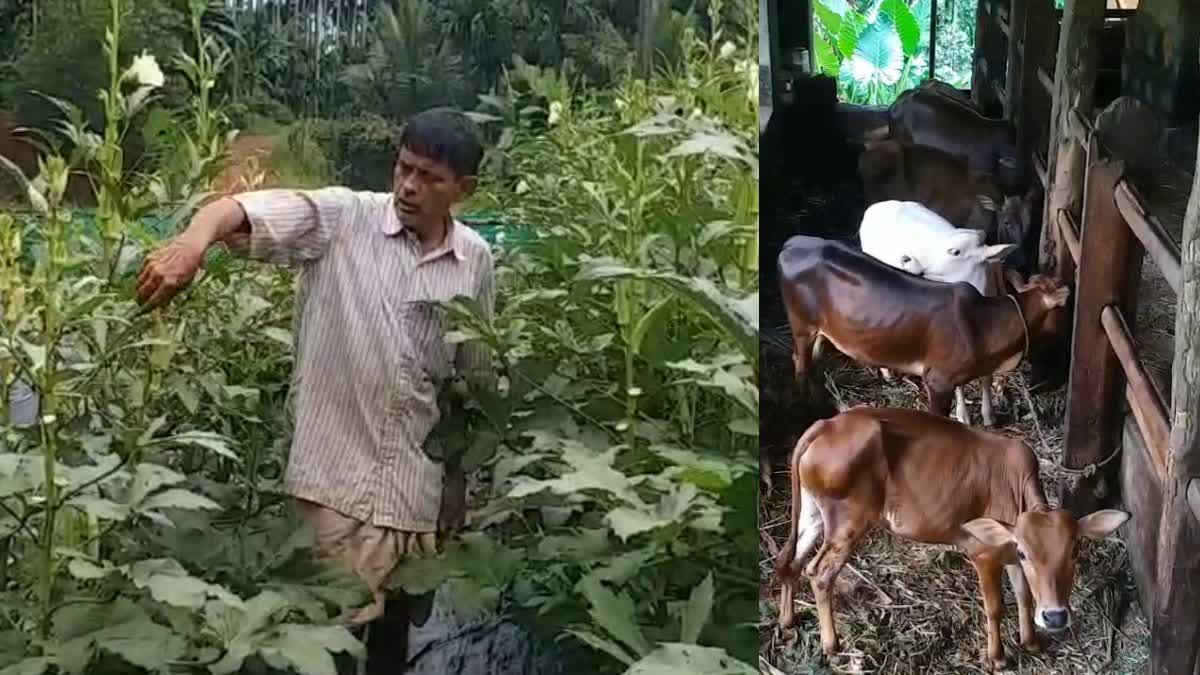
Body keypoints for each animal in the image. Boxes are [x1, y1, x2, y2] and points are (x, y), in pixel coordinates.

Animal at [772, 403, 1128, 667]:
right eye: (1027, 553)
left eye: (1074, 552)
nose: (1054, 617)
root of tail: (825, 425)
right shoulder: (984, 552)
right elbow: (995, 606)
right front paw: (997, 657)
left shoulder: (1008, 552)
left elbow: (1024, 594)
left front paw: (1030, 641)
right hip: (847, 523)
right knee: (819, 573)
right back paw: (832, 646)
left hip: (812, 514)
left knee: (788, 560)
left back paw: (787, 621)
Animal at [777, 236, 1070, 415]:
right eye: (1064, 308)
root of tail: (794, 242)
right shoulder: (938, 380)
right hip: (802, 326)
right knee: (799, 361)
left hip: (820, 331)